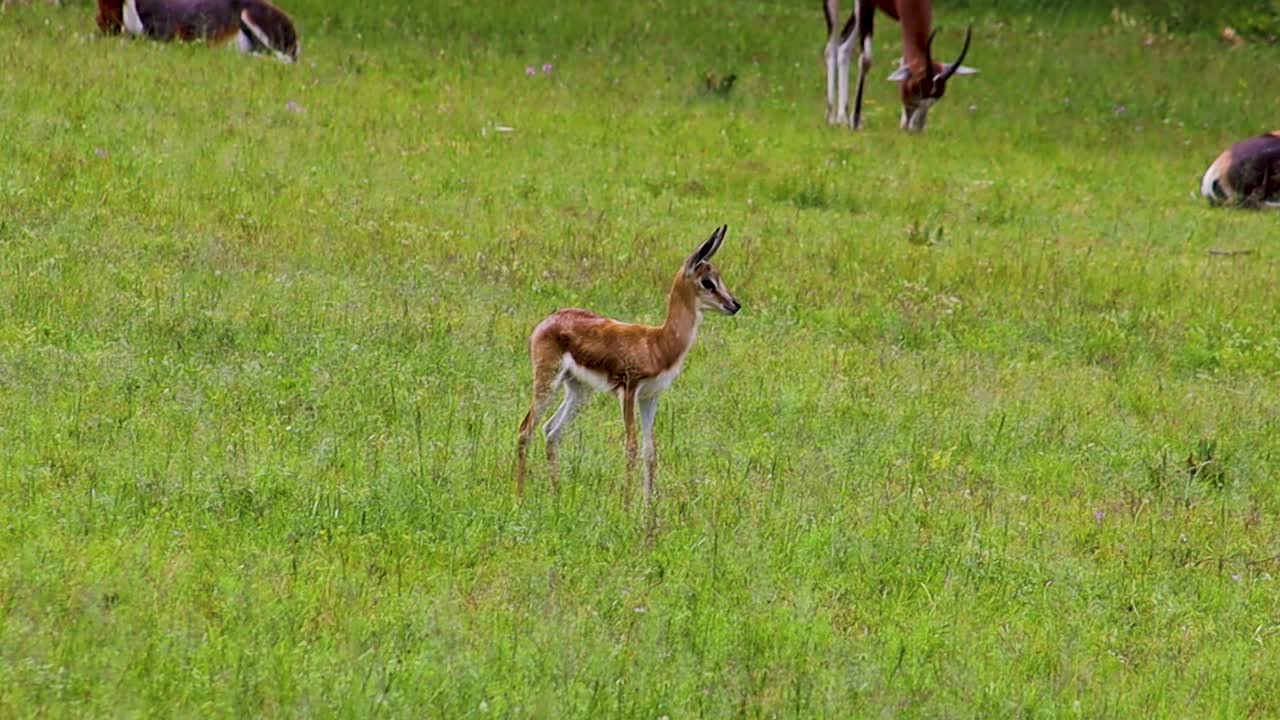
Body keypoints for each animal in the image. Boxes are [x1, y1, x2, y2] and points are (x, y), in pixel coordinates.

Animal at [515, 225, 742, 504]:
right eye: (707, 282)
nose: (734, 304)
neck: (657, 343)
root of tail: (548, 321)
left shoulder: (650, 397)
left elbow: (650, 450)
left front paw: (648, 506)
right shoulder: (629, 391)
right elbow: (631, 447)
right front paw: (626, 505)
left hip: (579, 390)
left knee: (551, 430)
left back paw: (556, 495)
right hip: (548, 380)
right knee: (526, 430)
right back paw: (519, 497)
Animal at [823, 0, 976, 132]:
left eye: (937, 96)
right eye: (916, 89)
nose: (917, 129)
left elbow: (903, 60)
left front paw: (902, 123)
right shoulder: (865, 2)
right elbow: (866, 60)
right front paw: (855, 122)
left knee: (844, 45)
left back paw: (842, 118)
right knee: (831, 47)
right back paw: (832, 117)